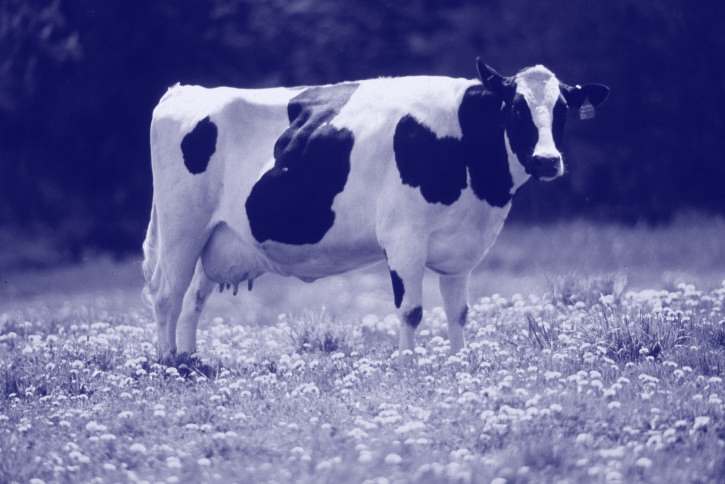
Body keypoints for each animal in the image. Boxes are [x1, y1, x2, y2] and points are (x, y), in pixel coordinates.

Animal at [142, 59, 609, 365]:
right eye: (516, 108)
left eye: (562, 110)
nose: (547, 161)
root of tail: (184, 90)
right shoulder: (404, 238)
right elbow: (412, 310)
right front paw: (407, 368)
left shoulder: (461, 248)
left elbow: (458, 312)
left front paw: (460, 365)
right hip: (182, 228)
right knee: (167, 294)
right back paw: (168, 364)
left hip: (215, 237)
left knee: (193, 299)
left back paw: (191, 360)